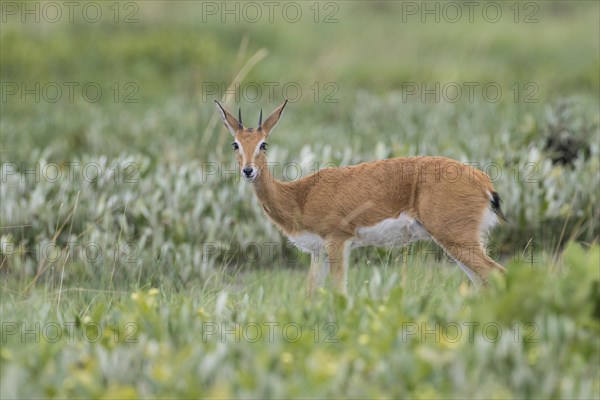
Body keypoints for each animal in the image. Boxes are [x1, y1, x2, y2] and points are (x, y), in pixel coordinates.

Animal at [216, 100, 506, 294]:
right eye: (235, 144)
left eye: (263, 143)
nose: (248, 170)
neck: (300, 196)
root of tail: (483, 181)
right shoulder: (318, 252)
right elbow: (311, 293)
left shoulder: (338, 241)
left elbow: (339, 291)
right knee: (483, 282)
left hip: (456, 240)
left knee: (497, 273)